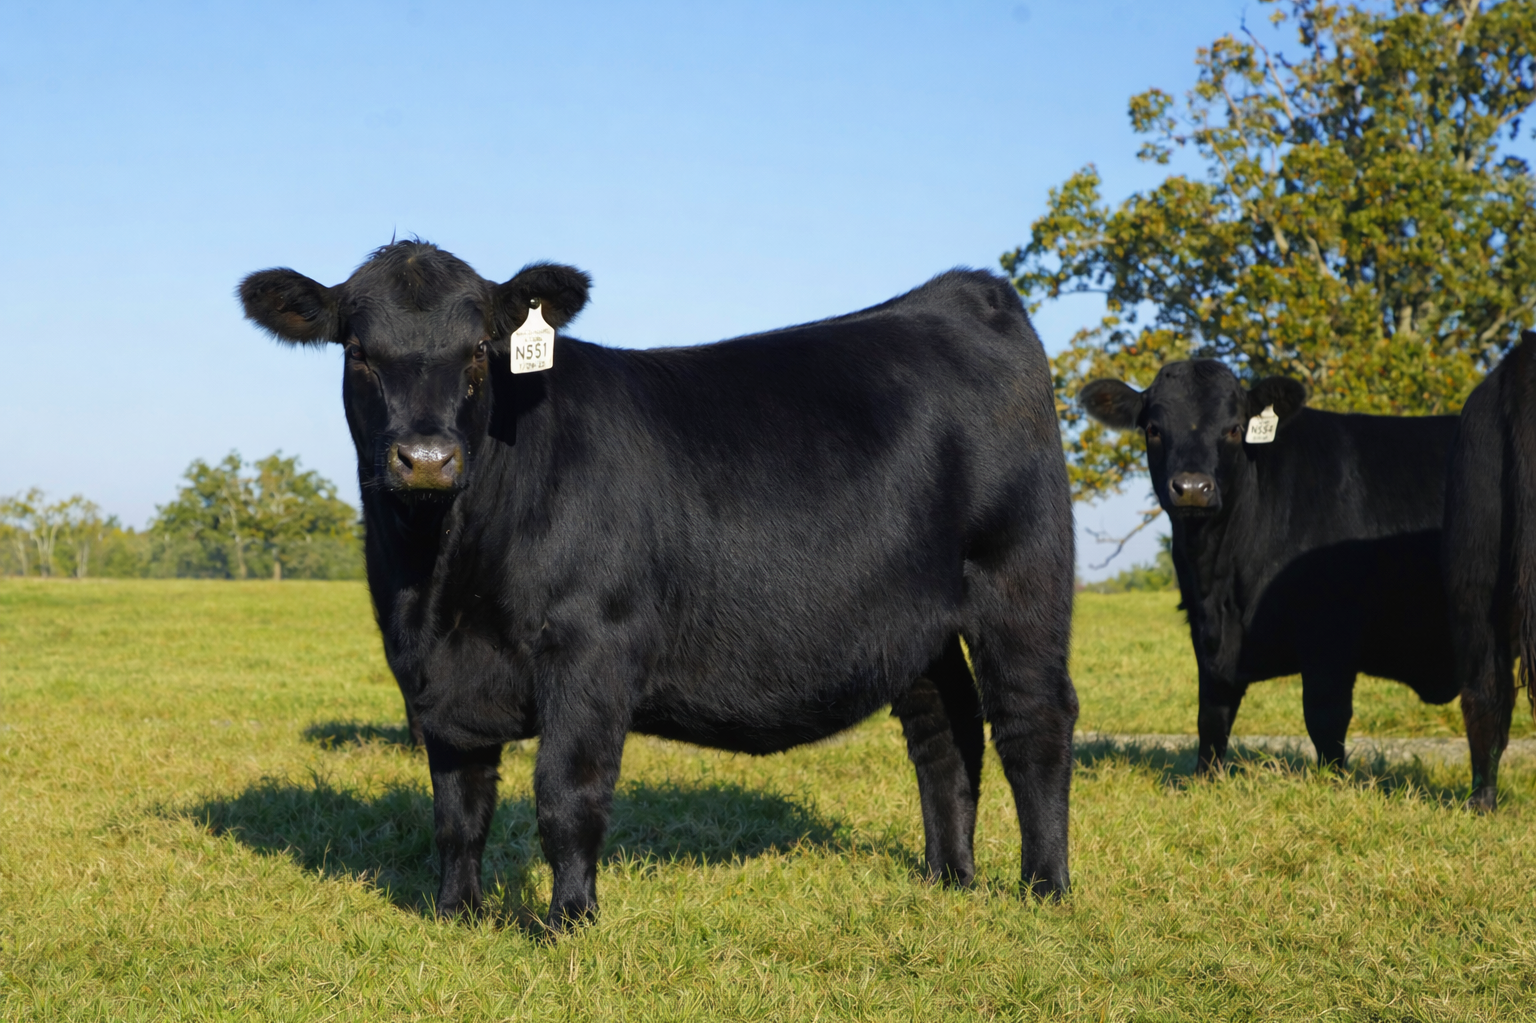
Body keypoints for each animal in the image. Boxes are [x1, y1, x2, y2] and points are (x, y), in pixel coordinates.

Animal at [239, 241, 1078, 929]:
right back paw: (948, 877)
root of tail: (954, 294)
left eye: (479, 349)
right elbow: (457, 806)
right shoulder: (436, 677)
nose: (426, 458)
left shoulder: (592, 646)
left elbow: (566, 793)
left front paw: (568, 922)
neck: (436, 581)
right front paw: (456, 915)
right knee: (944, 729)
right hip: (916, 617)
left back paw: (1044, 888)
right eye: (358, 351)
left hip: (1021, 577)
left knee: (1032, 719)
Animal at [1079, 361, 1460, 774]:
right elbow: (1212, 716)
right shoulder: (1206, 633)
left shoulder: (1331, 632)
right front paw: (1204, 778)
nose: (1193, 488)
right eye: (1153, 429)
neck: (1222, 581)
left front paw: (1334, 781)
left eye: (1234, 428)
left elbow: (1326, 719)